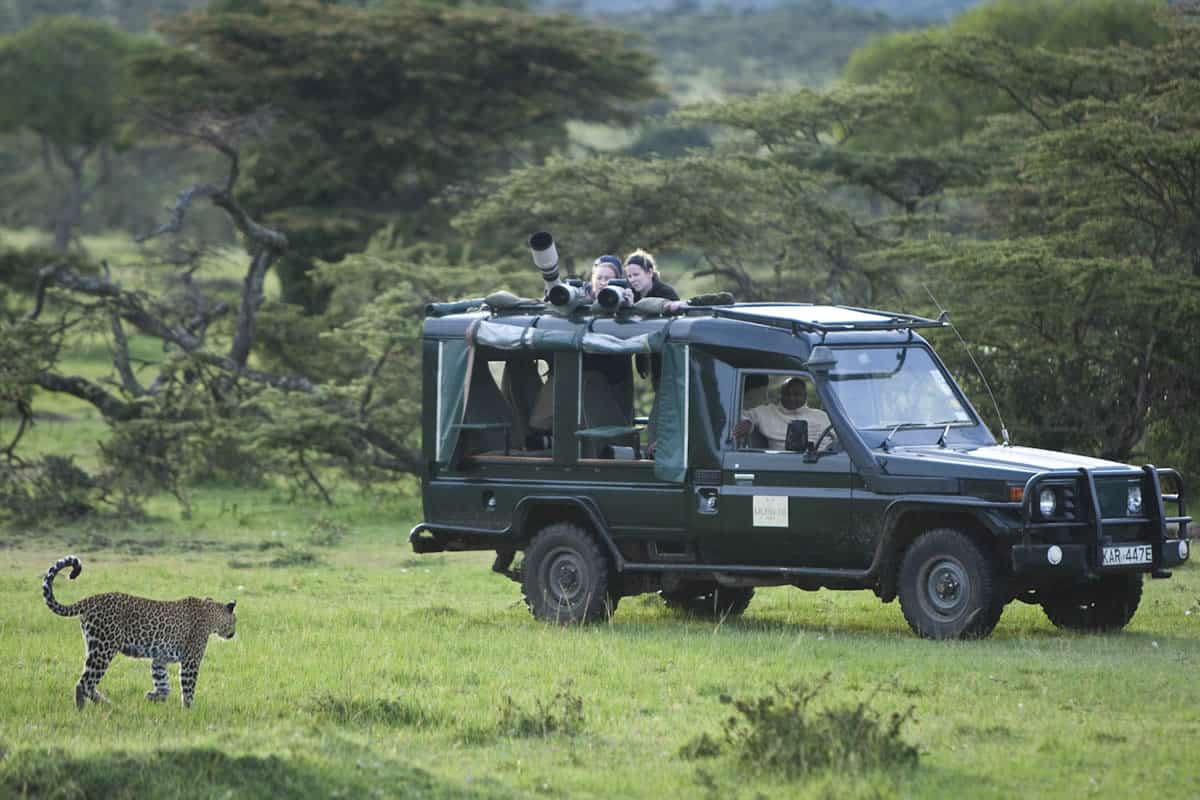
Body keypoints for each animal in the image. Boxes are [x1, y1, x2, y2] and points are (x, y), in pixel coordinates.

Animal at [42, 555, 237, 709]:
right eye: (235, 621)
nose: (233, 634)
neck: (211, 614)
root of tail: (90, 599)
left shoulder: (160, 659)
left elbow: (164, 684)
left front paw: (154, 696)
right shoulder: (191, 660)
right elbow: (188, 687)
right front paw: (188, 710)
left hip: (94, 647)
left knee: (86, 682)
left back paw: (104, 705)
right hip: (104, 649)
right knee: (84, 683)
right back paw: (90, 707)